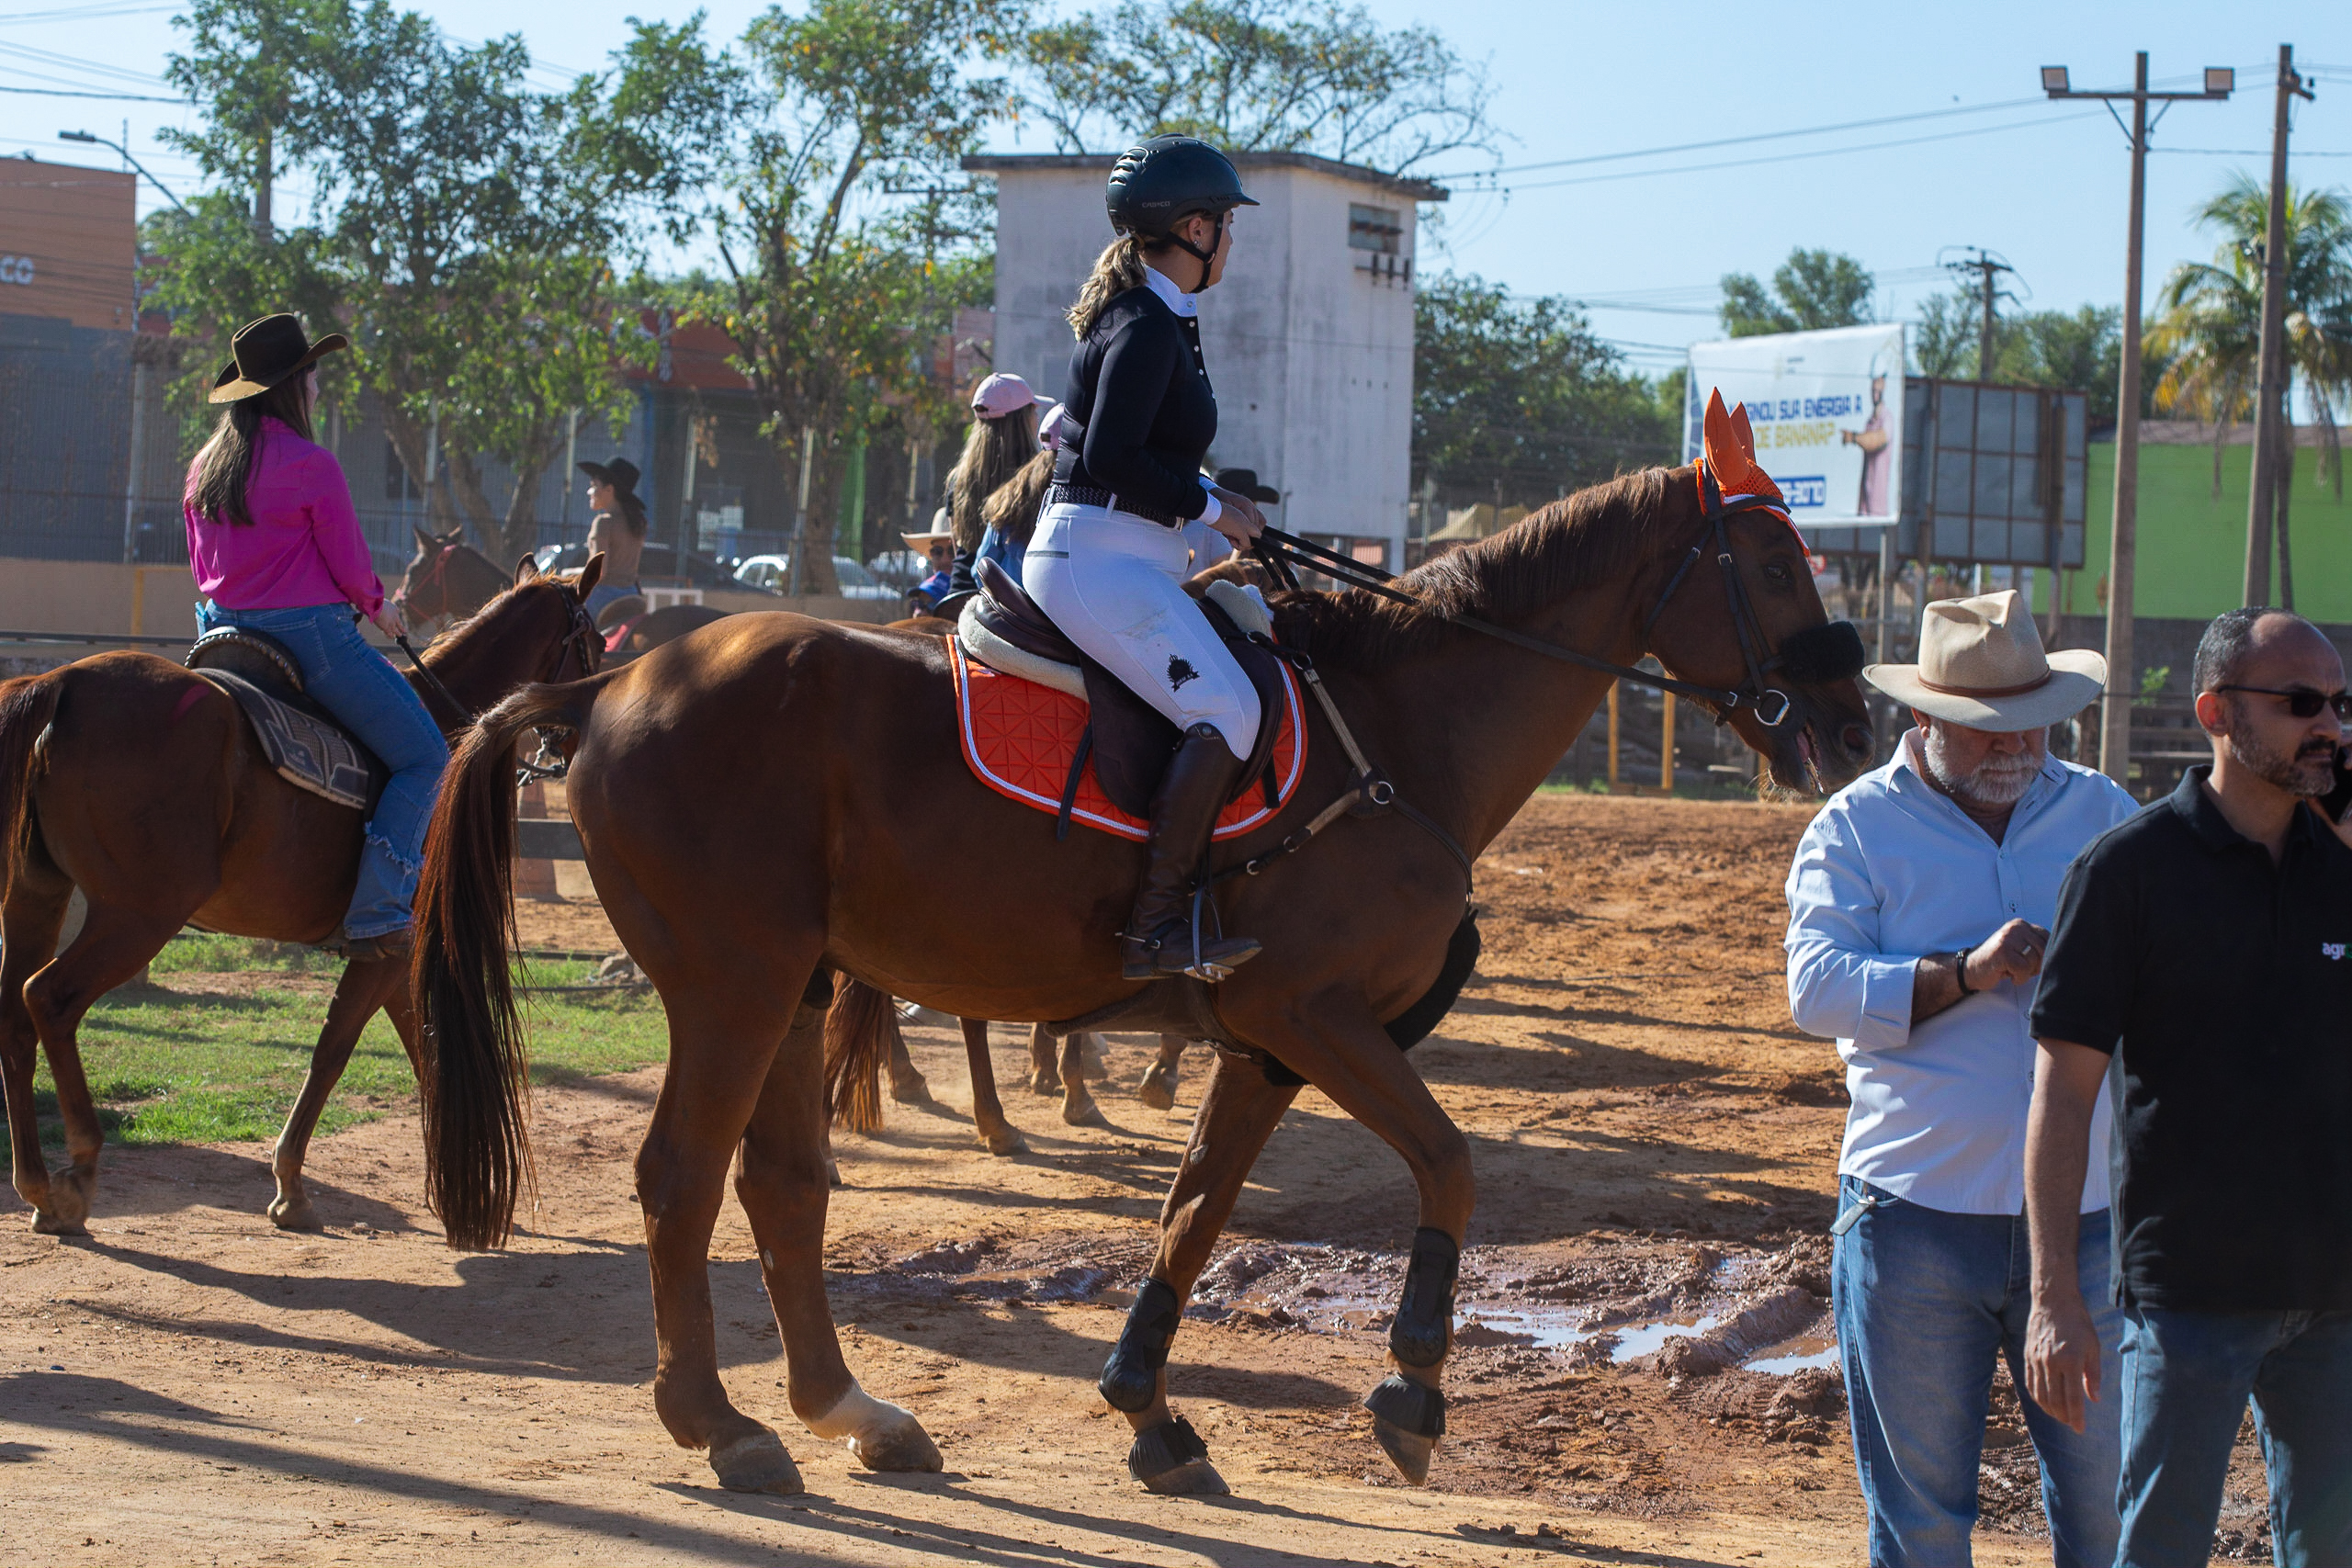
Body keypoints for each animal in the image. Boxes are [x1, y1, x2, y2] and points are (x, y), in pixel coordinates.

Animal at [0, 554, 602, 1241]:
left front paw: (459, 1190)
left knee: (13, 1016)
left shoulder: (391, 953)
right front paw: (292, 1187)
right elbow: (333, 1051)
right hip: (138, 915)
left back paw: (37, 1185)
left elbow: (418, 1049)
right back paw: (78, 1171)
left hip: (36, 898)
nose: (574, 743)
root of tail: (64, 683)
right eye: (594, 641)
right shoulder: (388, 950)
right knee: (49, 999)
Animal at [409, 415, 1871, 1495]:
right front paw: (1410, 1385)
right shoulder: (1317, 1014)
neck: (1396, 730)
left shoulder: (1272, 1042)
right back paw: (726, 1428)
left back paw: (850, 1410)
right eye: (1774, 566)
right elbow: (1448, 1162)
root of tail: (611, 681)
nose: (1853, 722)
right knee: (680, 1178)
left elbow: (1193, 1211)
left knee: (780, 1184)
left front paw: (1149, 1409)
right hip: (734, 987)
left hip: (794, 986)